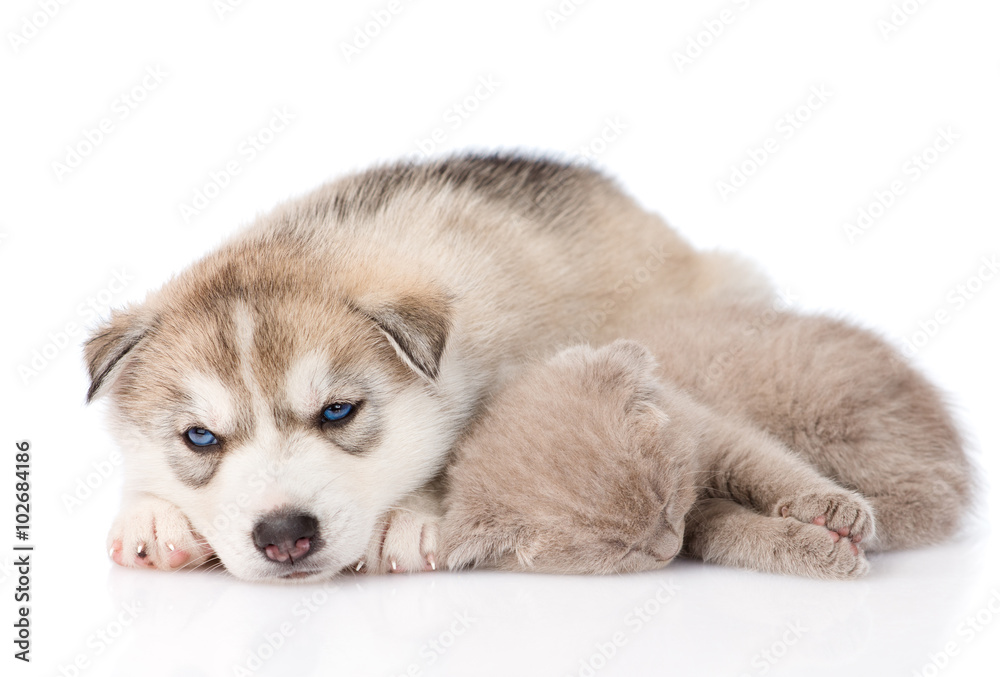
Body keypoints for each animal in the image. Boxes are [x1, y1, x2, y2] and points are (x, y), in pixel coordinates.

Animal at [442, 304, 972, 580]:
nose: (666, 550)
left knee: (936, 497)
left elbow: (770, 468)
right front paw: (821, 548)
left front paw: (831, 511)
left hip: (833, 421)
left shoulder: (718, 433)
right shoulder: (700, 522)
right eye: (617, 547)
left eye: (662, 499)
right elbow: (737, 534)